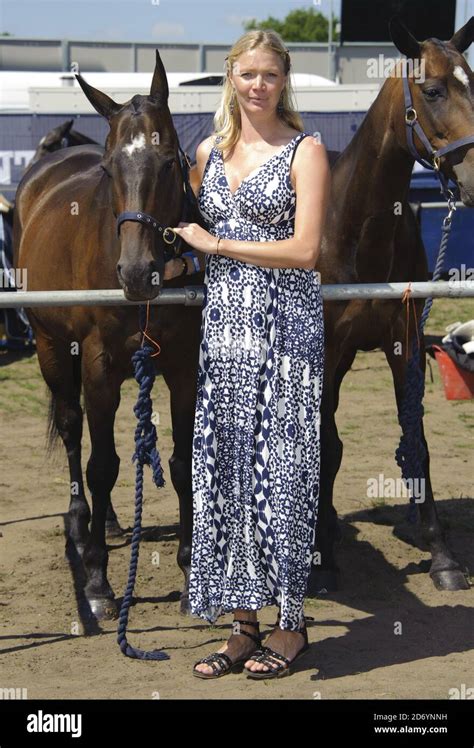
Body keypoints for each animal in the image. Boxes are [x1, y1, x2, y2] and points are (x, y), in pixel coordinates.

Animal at [13, 49, 206, 616]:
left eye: (170, 162)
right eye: (109, 167)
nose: (138, 273)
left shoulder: (183, 369)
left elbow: (181, 461)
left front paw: (189, 566)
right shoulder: (98, 369)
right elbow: (102, 465)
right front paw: (98, 578)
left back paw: (114, 522)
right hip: (54, 350)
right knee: (75, 432)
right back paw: (83, 527)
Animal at [310, 14, 472, 592]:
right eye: (433, 90)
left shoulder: (404, 341)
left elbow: (416, 440)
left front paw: (443, 556)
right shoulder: (326, 349)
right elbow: (325, 443)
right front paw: (320, 562)